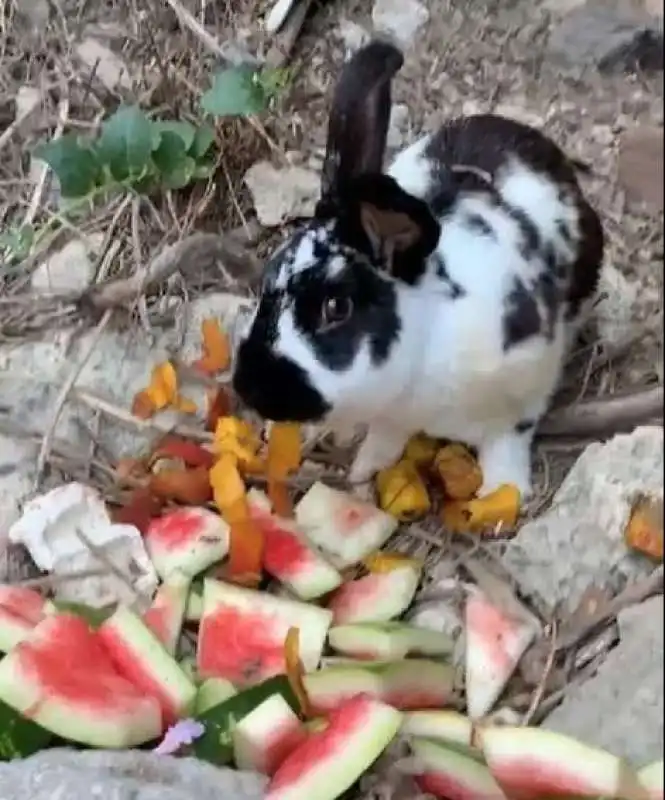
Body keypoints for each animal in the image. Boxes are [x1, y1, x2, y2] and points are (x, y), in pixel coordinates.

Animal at [231, 42, 604, 500]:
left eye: (336, 308)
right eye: (267, 281)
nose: (248, 386)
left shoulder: (525, 386)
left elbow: (507, 442)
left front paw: (503, 492)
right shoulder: (392, 417)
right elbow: (384, 439)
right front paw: (365, 469)